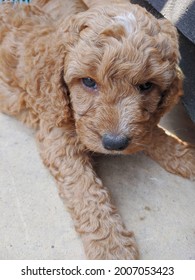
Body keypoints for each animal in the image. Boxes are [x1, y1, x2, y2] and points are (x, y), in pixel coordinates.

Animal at [0, 0, 195, 260]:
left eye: (146, 85)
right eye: (88, 82)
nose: (115, 143)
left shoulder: (141, 126)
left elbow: (152, 132)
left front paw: (187, 156)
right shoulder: (56, 134)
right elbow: (85, 190)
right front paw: (112, 246)